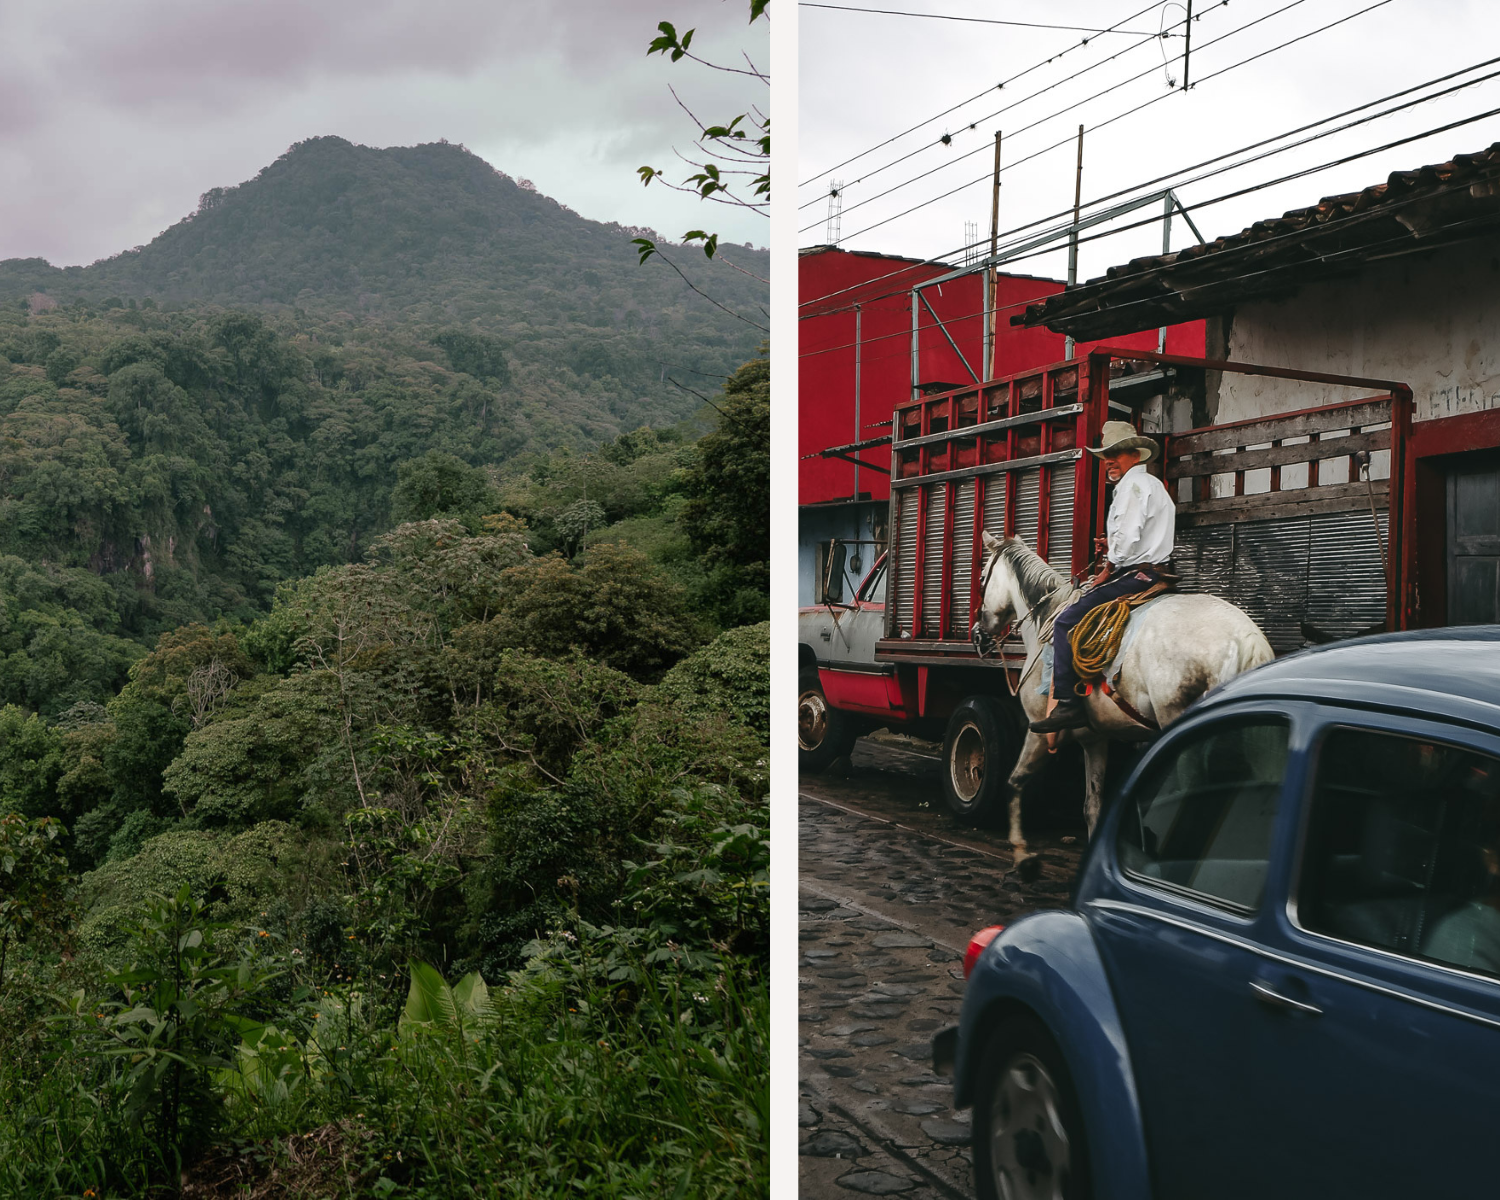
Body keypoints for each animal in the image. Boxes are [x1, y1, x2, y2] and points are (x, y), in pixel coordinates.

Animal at [972, 534, 1278, 882]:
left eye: (982, 578)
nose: (978, 634)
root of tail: (1244, 639)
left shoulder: (1038, 730)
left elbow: (1015, 782)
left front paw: (1023, 856)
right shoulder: (1095, 739)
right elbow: (1093, 804)